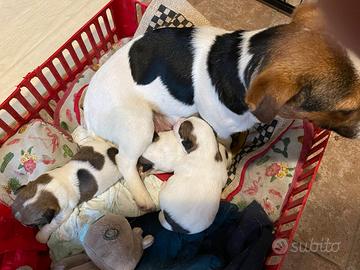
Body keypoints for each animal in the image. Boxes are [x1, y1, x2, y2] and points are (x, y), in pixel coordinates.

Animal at [83, 3, 360, 212]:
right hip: (139, 124)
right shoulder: (222, 130)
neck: (243, 63)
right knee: (125, 161)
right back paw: (143, 198)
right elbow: (225, 144)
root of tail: (87, 113)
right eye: (346, 109)